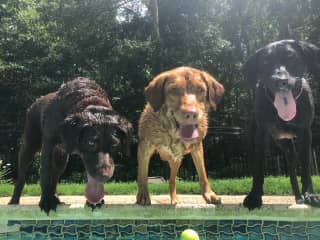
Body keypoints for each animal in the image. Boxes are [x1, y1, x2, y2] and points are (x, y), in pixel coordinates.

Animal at [8, 77, 132, 214]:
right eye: (91, 143)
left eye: (114, 145)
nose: (104, 176)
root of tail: (35, 102)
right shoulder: (48, 144)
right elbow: (45, 173)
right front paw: (46, 202)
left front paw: (94, 202)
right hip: (29, 147)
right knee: (22, 176)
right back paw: (14, 200)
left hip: (61, 159)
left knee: (54, 177)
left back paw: (55, 197)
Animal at [242, 39, 320, 210]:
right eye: (265, 62)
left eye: (291, 57)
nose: (281, 81)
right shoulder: (261, 135)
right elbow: (259, 168)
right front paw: (254, 197)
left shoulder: (306, 133)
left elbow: (306, 167)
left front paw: (310, 195)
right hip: (272, 142)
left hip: (290, 148)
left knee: (293, 169)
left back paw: (300, 197)